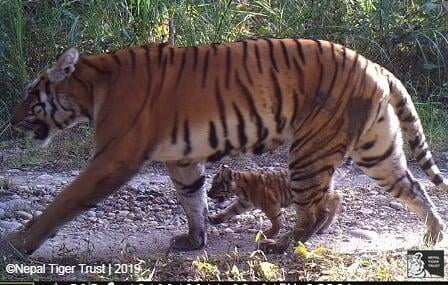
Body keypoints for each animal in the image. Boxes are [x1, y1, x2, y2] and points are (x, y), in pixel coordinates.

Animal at [5, 37, 446, 253]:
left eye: (30, 94)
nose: (9, 120)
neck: (92, 88)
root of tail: (376, 66)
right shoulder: (181, 159)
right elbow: (192, 200)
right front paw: (195, 240)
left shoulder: (112, 158)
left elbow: (63, 202)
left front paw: (17, 245)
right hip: (378, 150)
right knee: (413, 187)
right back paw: (433, 234)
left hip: (309, 151)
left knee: (312, 209)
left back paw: (281, 246)